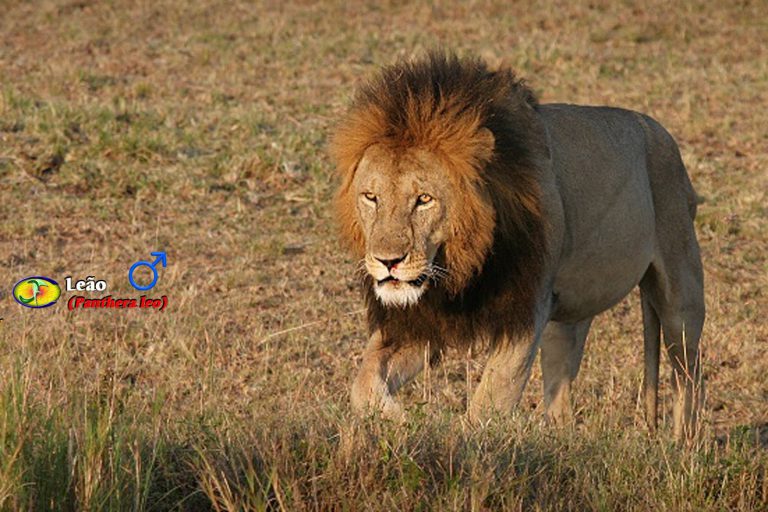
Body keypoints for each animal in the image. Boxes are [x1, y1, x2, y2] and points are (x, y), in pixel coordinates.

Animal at [331, 51, 705, 438]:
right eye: (371, 197)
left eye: (424, 199)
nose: (387, 261)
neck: (464, 264)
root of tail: (659, 130)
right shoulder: (423, 319)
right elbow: (363, 383)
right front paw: (399, 423)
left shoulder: (528, 307)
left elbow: (491, 396)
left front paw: (463, 441)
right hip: (567, 321)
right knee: (560, 397)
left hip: (681, 290)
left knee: (689, 377)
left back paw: (683, 444)